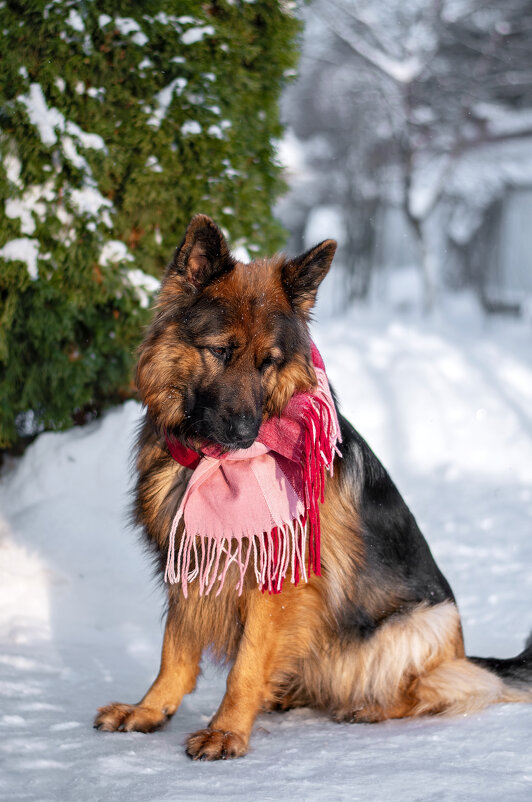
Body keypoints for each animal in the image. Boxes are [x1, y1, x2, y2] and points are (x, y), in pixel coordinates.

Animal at [94, 211, 532, 756]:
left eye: (269, 361)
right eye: (220, 351)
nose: (244, 433)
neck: (206, 463)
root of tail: (463, 652)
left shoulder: (279, 579)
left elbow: (245, 666)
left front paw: (227, 730)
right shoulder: (193, 560)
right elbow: (174, 650)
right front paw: (149, 710)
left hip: (421, 623)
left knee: (429, 691)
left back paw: (367, 707)